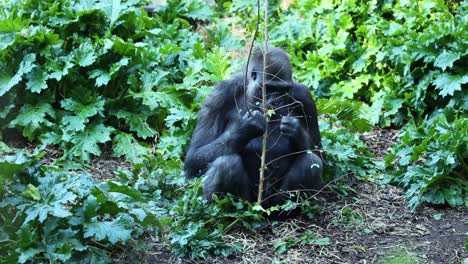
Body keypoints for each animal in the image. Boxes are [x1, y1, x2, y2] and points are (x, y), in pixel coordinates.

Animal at [185, 46, 324, 205]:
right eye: (269, 88)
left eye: (284, 90)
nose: (276, 102)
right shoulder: (218, 96)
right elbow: (194, 157)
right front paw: (246, 128)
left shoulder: (305, 96)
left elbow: (319, 153)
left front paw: (296, 131)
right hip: (248, 202)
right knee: (226, 164)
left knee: (311, 163)